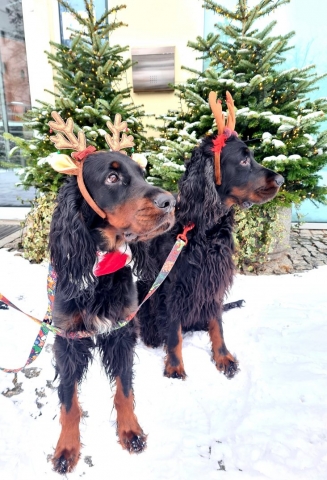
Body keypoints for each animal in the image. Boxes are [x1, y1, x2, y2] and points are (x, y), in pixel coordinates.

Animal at [47, 111, 176, 472]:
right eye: (112, 178)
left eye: (142, 174)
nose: (170, 202)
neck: (98, 270)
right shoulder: (68, 337)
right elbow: (69, 400)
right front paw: (66, 448)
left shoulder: (120, 331)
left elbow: (124, 389)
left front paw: (130, 431)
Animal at [133, 90, 284, 380]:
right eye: (244, 160)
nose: (282, 180)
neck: (204, 228)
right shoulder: (174, 285)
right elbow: (174, 332)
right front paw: (174, 366)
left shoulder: (213, 280)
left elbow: (217, 324)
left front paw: (223, 357)